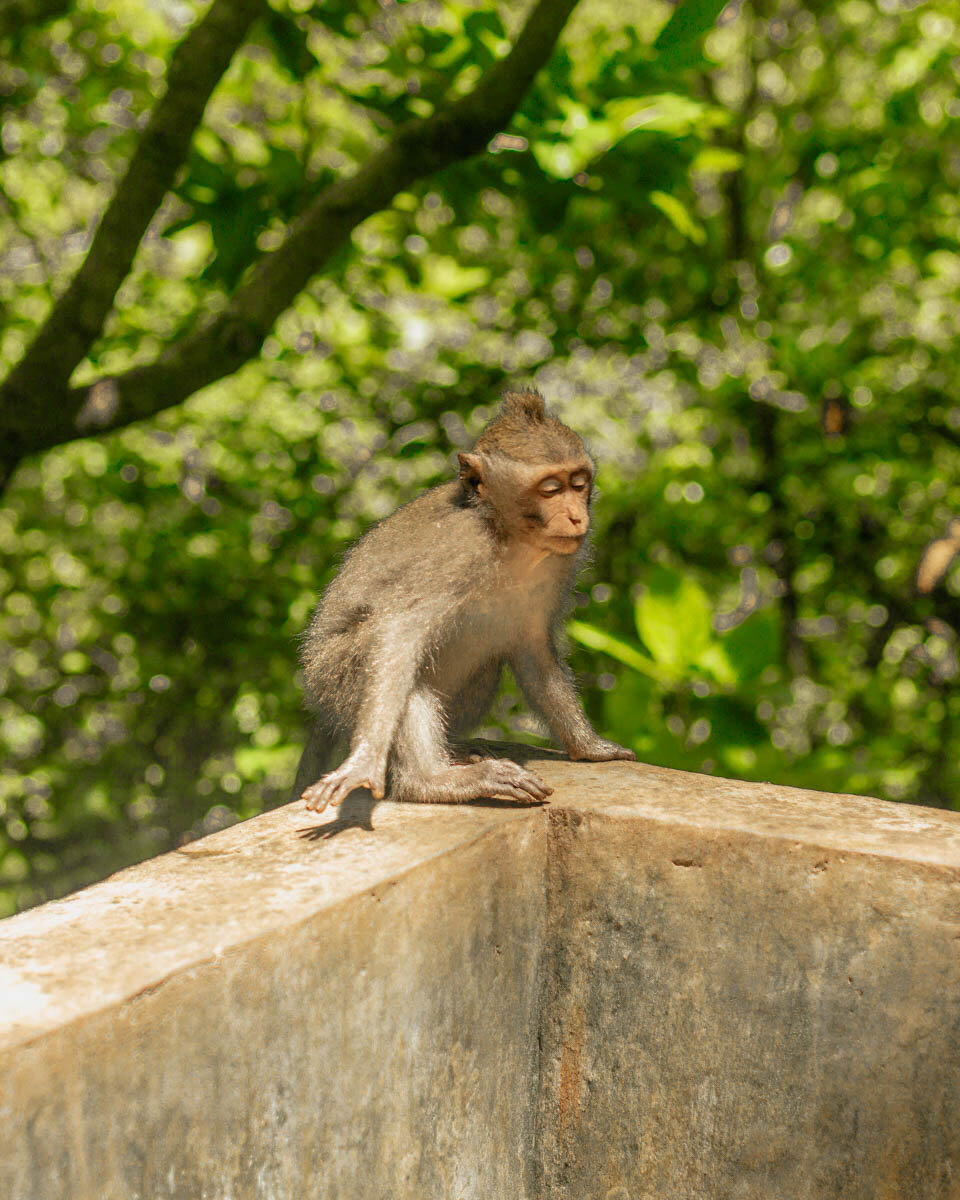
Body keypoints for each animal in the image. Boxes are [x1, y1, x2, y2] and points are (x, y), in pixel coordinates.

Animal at [296, 388, 633, 811]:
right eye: (551, 489)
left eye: (579, 483)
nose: (575, 516)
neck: (507, 536)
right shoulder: (458, 550)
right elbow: (397, 630)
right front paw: (364, 761)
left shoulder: (558, 564)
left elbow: (532, 649)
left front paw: (589, 747)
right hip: (332, 679)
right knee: (394, 664)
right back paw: (431, 782)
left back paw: (455, 752)